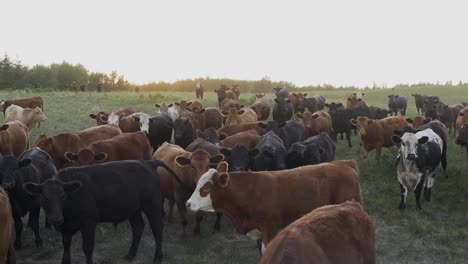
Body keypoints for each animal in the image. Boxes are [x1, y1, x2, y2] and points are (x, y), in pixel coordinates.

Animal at [24, 160, 184, 262]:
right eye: (44, 198)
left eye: (63, 196)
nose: (56, 219)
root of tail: (148, 162)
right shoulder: (66, 228)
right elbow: (66, 246)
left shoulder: (89, 223)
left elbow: (88, 248)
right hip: (134, 210)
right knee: (138, 227)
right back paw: (130, 255)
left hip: (152, 206)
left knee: (157, 230)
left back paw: (157, 257)